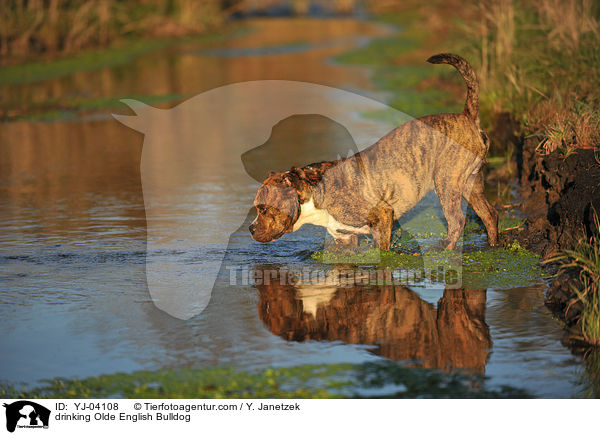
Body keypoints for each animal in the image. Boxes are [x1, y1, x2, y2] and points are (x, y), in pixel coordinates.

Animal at [248, 53, 496, 252]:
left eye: (263, 209)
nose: (250, 228)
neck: (314, 194)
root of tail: (467, 117)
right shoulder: (344, 238)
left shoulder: (383, 215)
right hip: (472, 183)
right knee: (490, 215)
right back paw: (493, 245)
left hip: (446, 183)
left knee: (457, 221)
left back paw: (444, 250)